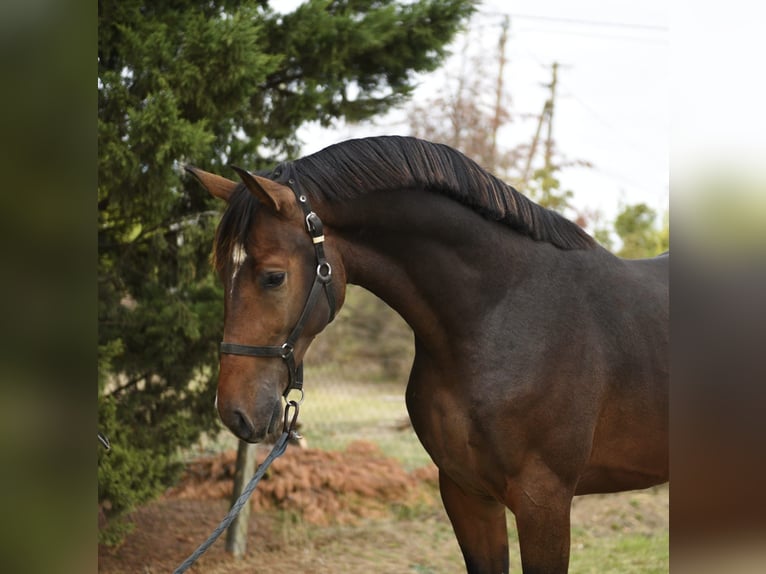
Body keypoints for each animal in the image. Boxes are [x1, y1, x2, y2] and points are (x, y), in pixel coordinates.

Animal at [187, 135, 668, 573]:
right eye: (222, 273)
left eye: (273, 277)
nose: (234, 411)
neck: (502, 312)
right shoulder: (466, 493)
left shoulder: (543, 501)